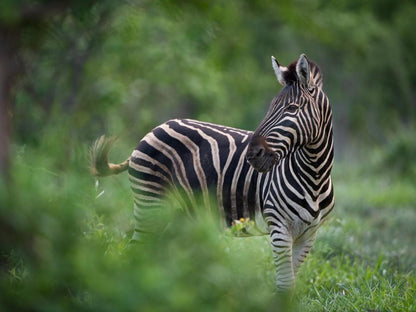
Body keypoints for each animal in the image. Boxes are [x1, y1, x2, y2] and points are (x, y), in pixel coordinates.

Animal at [92, 54, 334, 290]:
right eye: (270, 107)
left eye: (292, 108)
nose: (252, 154)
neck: (315, 175)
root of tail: (154, 129)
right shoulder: (280, 227)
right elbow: (285, 285)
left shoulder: (308, 234)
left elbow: (290, 283)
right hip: (150, 204)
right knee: (136, 252)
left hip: (176, 214)